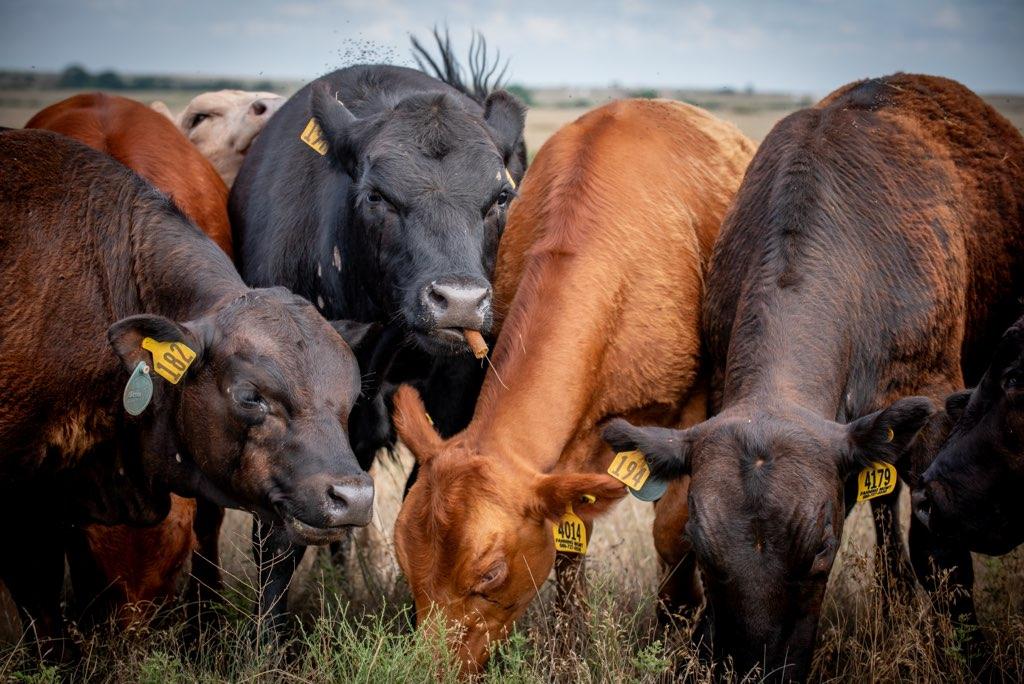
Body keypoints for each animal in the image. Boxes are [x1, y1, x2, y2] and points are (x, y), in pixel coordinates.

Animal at [228, 32, 527, 621]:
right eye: (377, 195)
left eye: (500, 197)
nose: (458, 302)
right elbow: (279, 539)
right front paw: (266, 634)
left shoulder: (452, 406)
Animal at [391, 98, 755, 675]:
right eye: (404, 557)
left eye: (490, 574)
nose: (431, 669)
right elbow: (570, 543)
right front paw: (569, 649)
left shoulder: (694, 406)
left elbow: (673, 527)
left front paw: (676, 640)